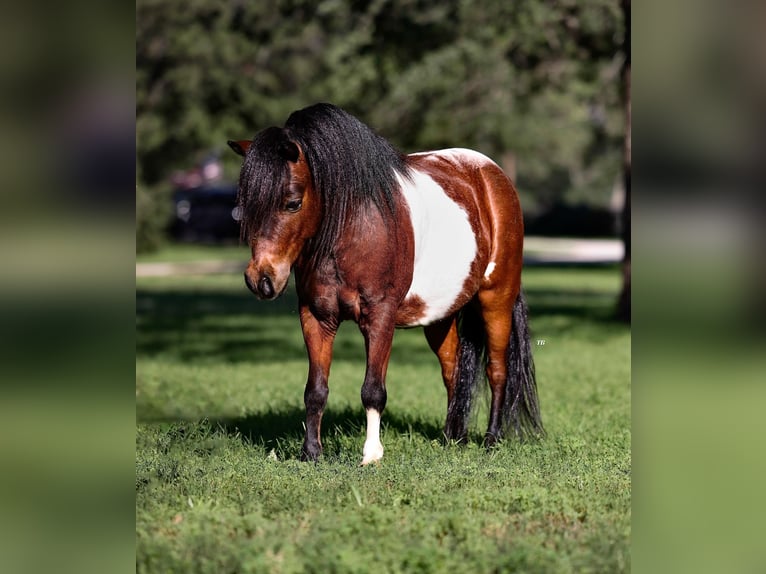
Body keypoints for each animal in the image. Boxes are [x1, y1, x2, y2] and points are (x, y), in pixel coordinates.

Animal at [230, 103, 544, 466]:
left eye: (292, 202)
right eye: (245, 207)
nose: (261, 279)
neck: (353, 226)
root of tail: (492, 176)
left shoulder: (380, 317)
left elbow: (373, 390)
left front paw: (371, 454)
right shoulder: (316, 317)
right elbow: (315, 389)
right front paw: (311, 452)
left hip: (496, 300)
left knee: (497, 369)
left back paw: (491, 439)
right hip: (440, 315)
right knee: (453, 371)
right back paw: (454, 438)